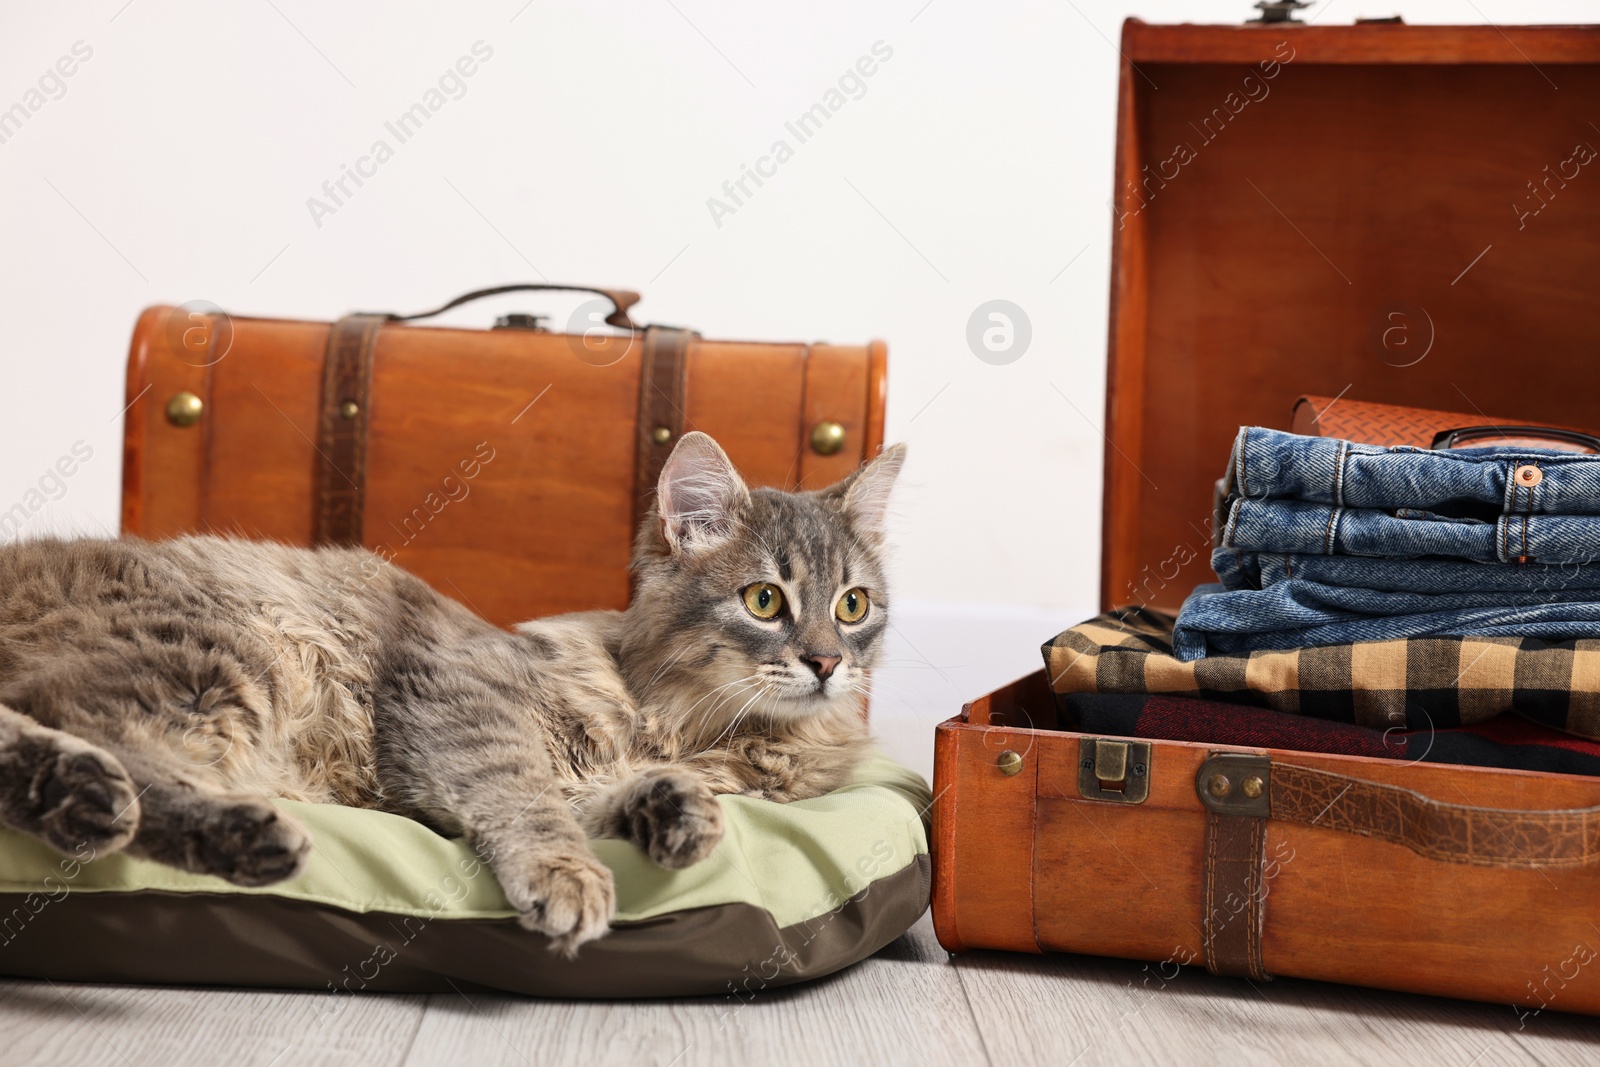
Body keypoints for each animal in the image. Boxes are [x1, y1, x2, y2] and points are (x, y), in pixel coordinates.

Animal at [0, 435, 902, 959]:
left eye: (853, 604)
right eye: (765, 600)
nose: (827, 662)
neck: (691, 724)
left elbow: (601, 796)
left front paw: (676, 810)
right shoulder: (456, 698)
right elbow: (525, 797)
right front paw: (567, 875)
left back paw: (74, 794)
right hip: (212, 661)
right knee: (120, 752)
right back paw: (203, 825)